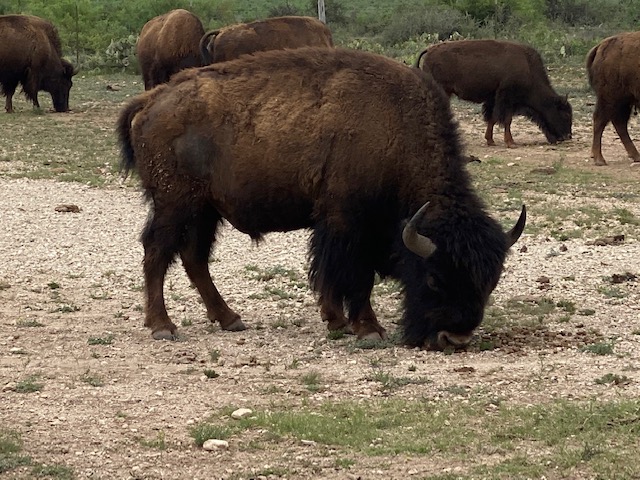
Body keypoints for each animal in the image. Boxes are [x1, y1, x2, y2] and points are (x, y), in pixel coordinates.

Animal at [117, 47, 525, 350]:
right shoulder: (349, 223)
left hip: (204, 210)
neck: (394, 130)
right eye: (434, 279)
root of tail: (150, 101)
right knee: (157, 252)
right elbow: (354, 275)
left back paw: (230, 319)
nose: (454, 338)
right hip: (175, 205)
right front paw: (367, 329)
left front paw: (337, 321)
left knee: (193, 257)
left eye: (490, 282)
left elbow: (330, 274)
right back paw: (163, 326)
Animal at [415, 39, 572, 147]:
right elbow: (506, 119)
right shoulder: (507, 99)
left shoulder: (493, 99)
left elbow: (492, 118)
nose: (568, 136)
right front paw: (510, 142)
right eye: (565, 114)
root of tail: (429, 50)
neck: (528, 68)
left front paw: (490, 140)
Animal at [587, 32, 640, 166]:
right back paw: (599, 159)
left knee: (618, 123)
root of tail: (602, 46)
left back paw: (636, 155)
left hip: (623, 101)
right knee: (601, 120)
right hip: (612, 99)